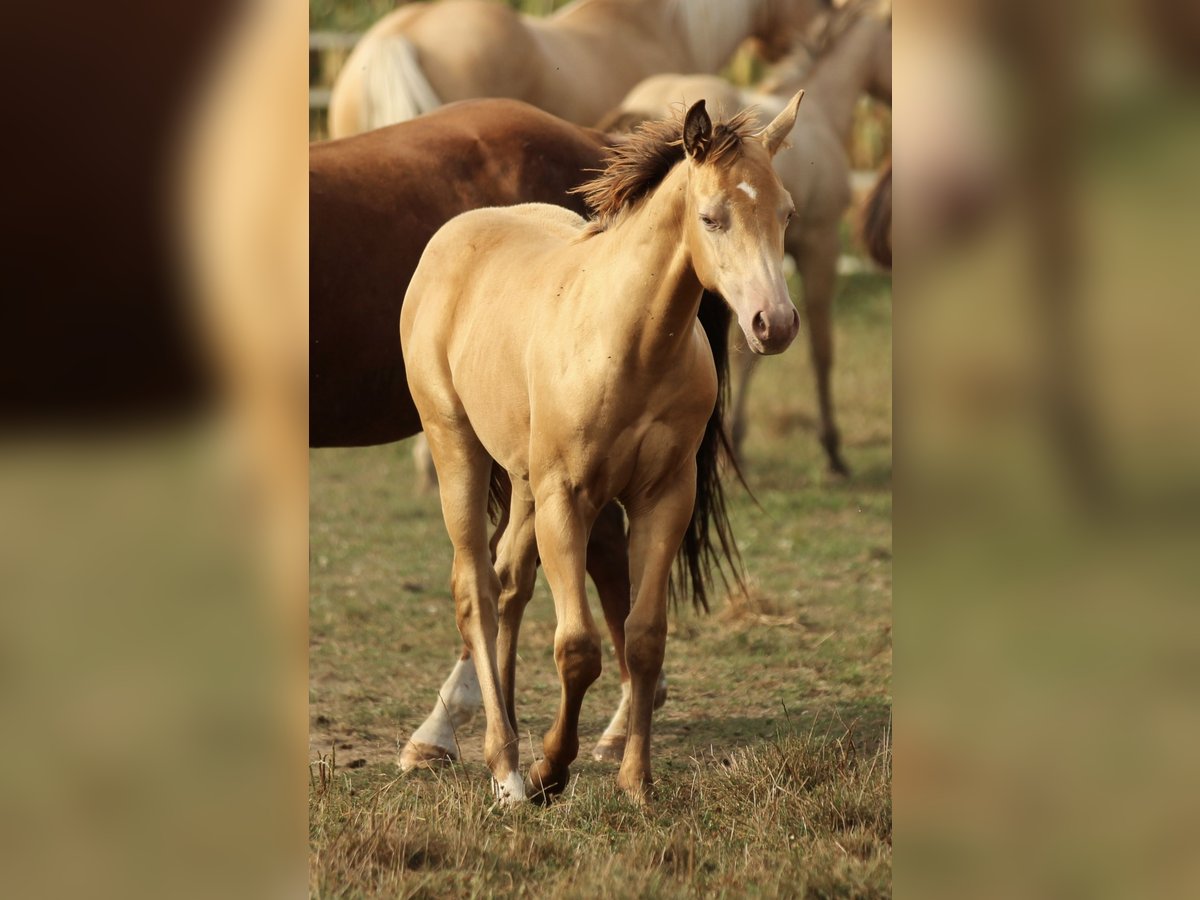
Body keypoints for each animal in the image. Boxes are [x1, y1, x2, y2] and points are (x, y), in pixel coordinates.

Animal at [403, 95, 806, 806]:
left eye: (785, 212)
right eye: (712, 216)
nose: (774, 324)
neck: (629, 342)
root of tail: (454, 235)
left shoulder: (664, 496)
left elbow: (643, 638)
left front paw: (636, 781)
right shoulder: (570, 497)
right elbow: (579, 647)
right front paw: (549, 770)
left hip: (525, 479)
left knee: (509, 584)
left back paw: (507, 745)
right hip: (457, 446)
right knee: (475, 588)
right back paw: (505, 766)